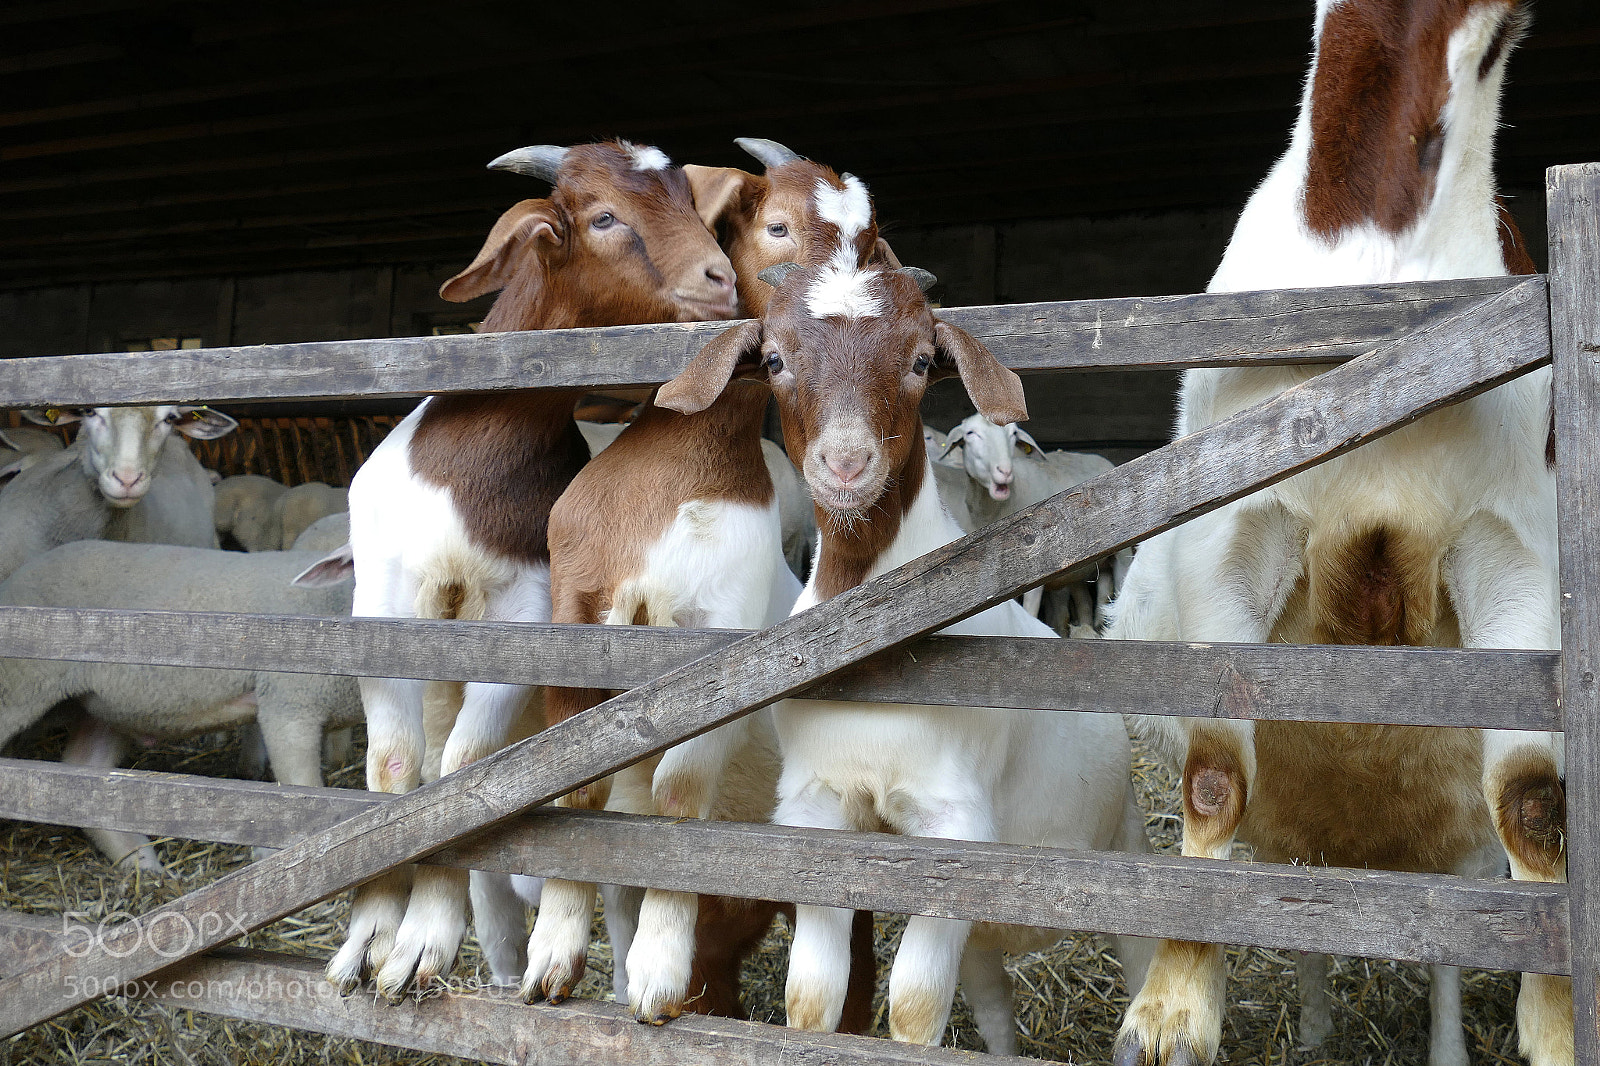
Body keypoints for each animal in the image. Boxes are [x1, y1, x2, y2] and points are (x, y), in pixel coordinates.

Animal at [324, 139, 740, 1002]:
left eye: (690, 200)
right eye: (605, 216)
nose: (721, 280)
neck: (468, 470)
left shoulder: (527, 617)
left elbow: (463, 772)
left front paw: (419, 942)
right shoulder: (379, 605)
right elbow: (395, 768)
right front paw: (369, 940)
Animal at [522, 137, 884, 1028]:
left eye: (869, 243)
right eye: (778, 225)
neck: (681, 476)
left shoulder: (719, 651)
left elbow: (681, 803)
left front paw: (652, 977)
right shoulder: (573, 613)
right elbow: (574, 794)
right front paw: (552, 960)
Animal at [659, 251, 1153, 1052]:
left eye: (921, 360)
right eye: (775, 359)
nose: (846, 463)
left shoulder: (955, 828)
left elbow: (915, 1012)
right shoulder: (816, 811)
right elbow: (810, 999)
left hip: (1126, 848)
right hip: (983, 932)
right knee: (994, 1003)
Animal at [1105, 4, 1563, 1066]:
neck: (1385, 237)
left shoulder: (1518, 551)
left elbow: (1530, 801)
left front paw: (1559, 1025)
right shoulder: (1227, 537)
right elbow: (1214, 775)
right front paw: (1171, 1007)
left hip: (1442, 834)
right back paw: (1313, 1025)